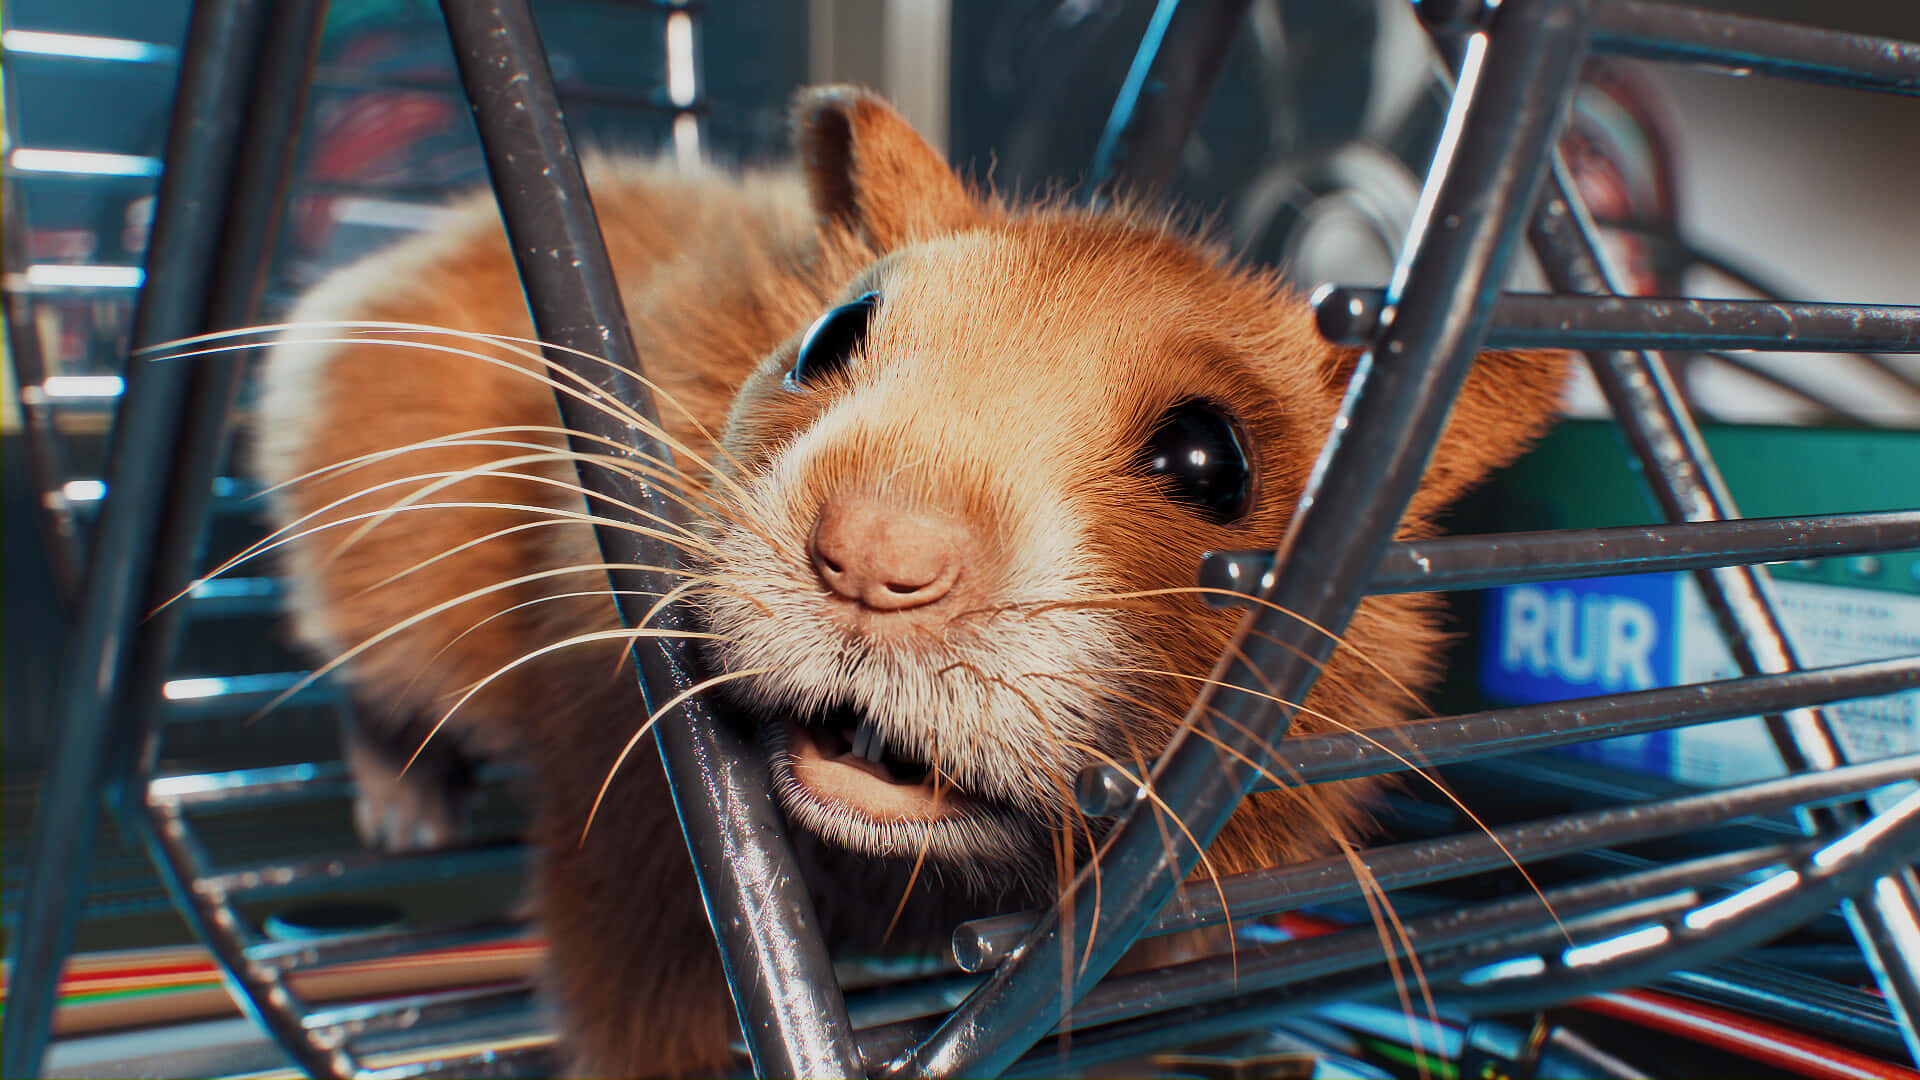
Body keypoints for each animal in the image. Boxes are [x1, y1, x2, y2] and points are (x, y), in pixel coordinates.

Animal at [252, 86, 1566, 1075]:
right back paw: (405, 818)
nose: (875, 560)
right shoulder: (631, 851)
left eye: (1211, 461)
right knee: (371, 697)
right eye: (833, 334)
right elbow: (633, 1018)